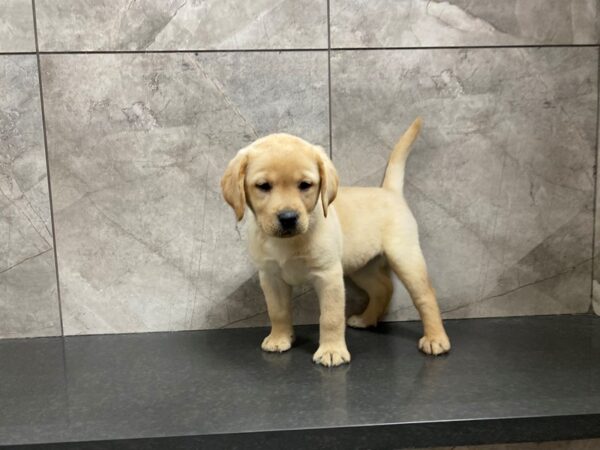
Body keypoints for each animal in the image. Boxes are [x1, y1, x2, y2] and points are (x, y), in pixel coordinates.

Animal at [221, 118, 450, 366]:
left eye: (305, 185)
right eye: (263, 186)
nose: (288, 218)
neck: (290, 241)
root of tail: (389, 191)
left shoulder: (328, 275)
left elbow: (330, 317)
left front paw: (331, 351)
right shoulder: (271, 277)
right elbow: (277, 311)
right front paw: (279, 338)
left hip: (405, 256)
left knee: (425, 296)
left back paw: (436, 339)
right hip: (361, 266)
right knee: (382, 288)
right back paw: (367, 319)